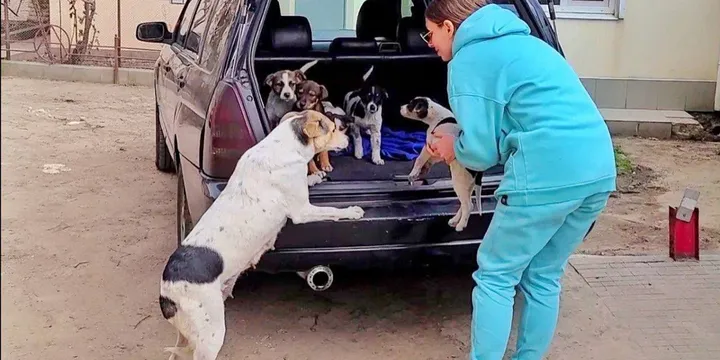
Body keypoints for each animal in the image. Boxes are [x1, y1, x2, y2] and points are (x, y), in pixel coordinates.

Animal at [162, 109, 366, 360]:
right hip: (210, 335)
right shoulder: (303, 211)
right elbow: (333, 211)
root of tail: (167, 291)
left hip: (187, 335)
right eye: (334, 128)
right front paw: (352, 211)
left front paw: (316, 177)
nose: (348, 139)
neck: (284, 145)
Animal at [400, 95, 484, 232]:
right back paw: (455, 220)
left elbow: (419, 160)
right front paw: (423, 171)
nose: (400, 107)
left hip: (459, 182)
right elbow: (429, 161)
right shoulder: (436, 151)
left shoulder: (428, 145)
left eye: (410, 105)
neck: (437, 115)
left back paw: (461, 225)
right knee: (464, 204)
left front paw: (413, 173)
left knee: (468, 205)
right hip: (468, 185)